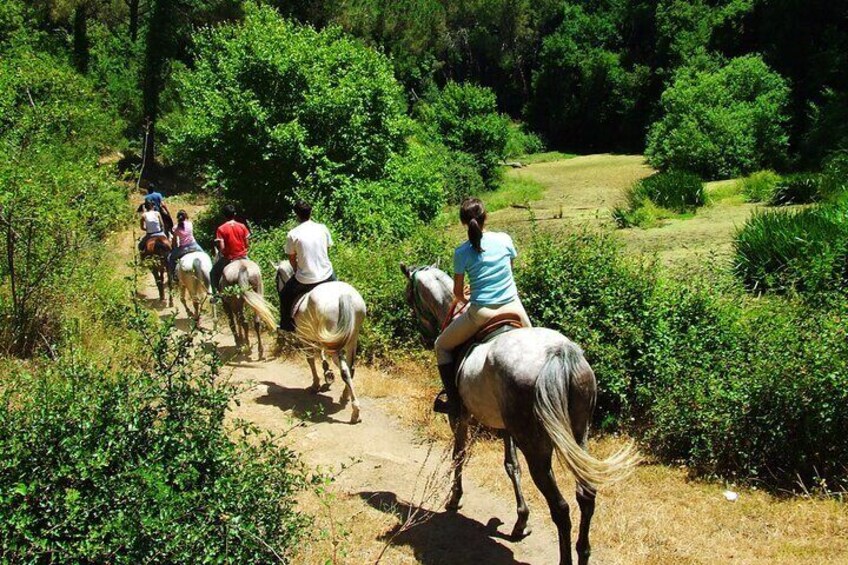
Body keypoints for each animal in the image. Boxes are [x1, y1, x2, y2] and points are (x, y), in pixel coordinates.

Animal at [272, 260, 364, 424]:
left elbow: (310, 359)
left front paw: (316, 384)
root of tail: (344, 296)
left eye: (277, 279)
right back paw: (345, 396)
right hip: (351, 339)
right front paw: (327, 371)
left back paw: (355, 411)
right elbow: (321, 356)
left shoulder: (305, 337)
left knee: (345, 370)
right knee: (351, 368)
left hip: (335, 341)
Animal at [402, 264, 636, 564]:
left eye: (410, 296)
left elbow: (459, 455)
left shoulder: (460, 417)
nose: (423, 335)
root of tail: (559, 354)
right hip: (578, 435)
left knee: (560, 508)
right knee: (586, 495)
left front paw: (455, 498)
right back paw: (583, 552)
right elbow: (511, 465)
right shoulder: (506, 427)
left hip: (535, 445)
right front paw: (521, 521)